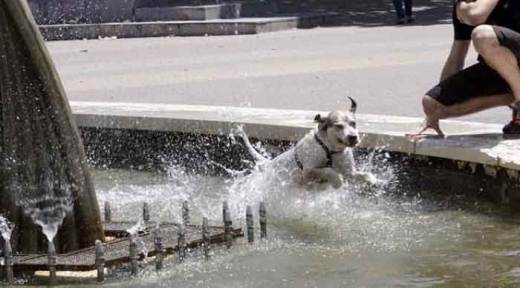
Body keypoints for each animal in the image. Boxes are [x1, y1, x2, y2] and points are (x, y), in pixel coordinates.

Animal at [236, 98, 378, 189]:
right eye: (338, 126)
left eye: (353, 123)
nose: (353, 137)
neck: (329, 150)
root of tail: (268, 163)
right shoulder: (309, 171)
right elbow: (328, 171)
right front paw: (337, 181)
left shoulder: (349, 172)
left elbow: (365, 175)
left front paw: (374, 180)